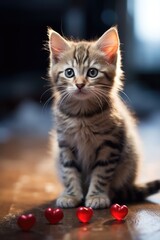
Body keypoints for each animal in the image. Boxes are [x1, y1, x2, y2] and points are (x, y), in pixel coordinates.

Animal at [47, 26, 160, 208]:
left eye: (92, 72)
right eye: (69, 73)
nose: (79, 84)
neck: (82, 115)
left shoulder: (109, 145)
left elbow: (101, 173)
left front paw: (97, 196)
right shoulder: (65, 144)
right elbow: (69, 171)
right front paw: (71, 194)